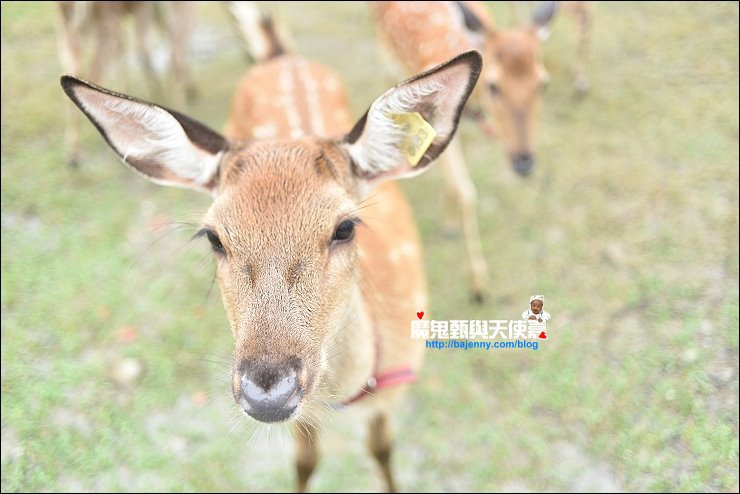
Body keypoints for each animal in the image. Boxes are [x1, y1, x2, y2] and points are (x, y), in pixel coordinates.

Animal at [60, 0, 482, 490]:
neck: (347, 395)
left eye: (345, 227)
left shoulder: (395, 388)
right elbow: (305, 461)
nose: (267, 391)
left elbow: (381, 450)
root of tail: (281, 58)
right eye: (214, 237)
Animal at [372, 1, 592, 302]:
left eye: (542, 83)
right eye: (493, 85)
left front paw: (449, 222)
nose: (524, 162)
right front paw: (478, 285)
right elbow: (467, 193)